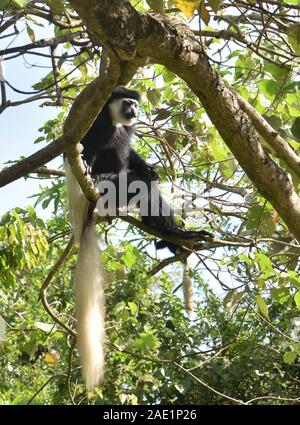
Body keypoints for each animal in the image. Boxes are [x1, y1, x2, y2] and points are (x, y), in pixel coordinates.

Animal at [64, 86, 212, 390]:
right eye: (127, 103)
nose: (133, 110)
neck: (113, 118)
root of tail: (84, 210)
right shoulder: (98, 123)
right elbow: (89, 148)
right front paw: (86, 163)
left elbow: (134, 156)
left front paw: (150, 167)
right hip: (108, 192)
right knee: (135, 184)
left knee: (148, 185)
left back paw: (174, 238)